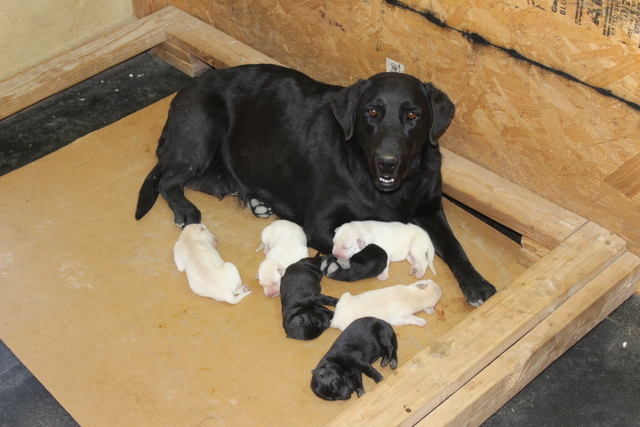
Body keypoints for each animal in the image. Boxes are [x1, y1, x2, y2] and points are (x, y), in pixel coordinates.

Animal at [134, 63, 496, 308]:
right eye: (372, 112)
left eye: (412, 116)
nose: (387, 162)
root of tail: (185, 90)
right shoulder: (320, 223)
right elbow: (375, 250)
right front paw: (337, 265)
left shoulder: (430, 207)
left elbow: (454, 247)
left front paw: (477, 284)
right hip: (203, 125)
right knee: (169, 177)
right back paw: (186, 209)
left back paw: (253, 199)